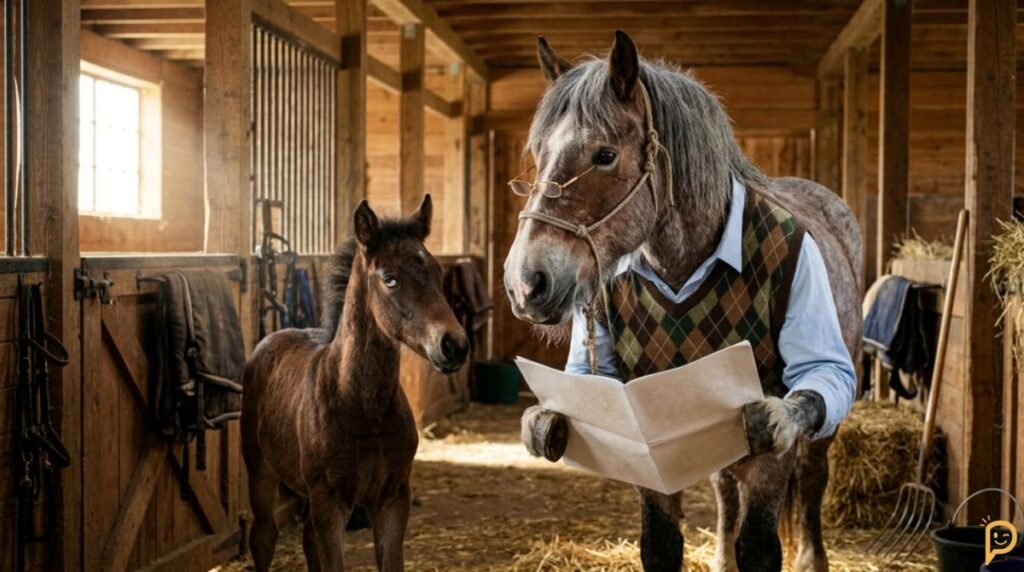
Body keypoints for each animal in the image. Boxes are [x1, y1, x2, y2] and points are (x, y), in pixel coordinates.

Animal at [241, 195, 470, 572]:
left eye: (439, 273)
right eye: (389, 279)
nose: (454, 345)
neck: (364, 408)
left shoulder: (393, 498)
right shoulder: (331, 502)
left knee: (307, 540)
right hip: (260, 471)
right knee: (263, 536)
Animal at [505, 32, 862, 572]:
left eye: (604, 155)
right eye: (537, 152)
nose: (526, 283)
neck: (684, 260)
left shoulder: (772, 448)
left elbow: (760, 544)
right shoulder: (649, 453)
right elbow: (661, 543)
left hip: (821, 429)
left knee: (813, 479)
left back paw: (811, 559)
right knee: (724, 488)